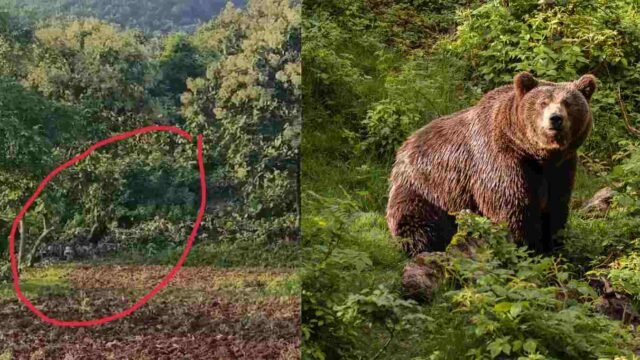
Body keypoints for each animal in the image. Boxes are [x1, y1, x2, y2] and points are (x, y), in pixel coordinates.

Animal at [388, 71, 596, 255]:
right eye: (542, 102)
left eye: (568, 103)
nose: (555, 119)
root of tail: (406, 144)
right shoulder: (501, 160)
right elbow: (512, 208)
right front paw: (527, 247)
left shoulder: (561, 167)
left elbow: (555, 207)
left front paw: (554, 245)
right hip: (427, 189)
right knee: (417, 222)